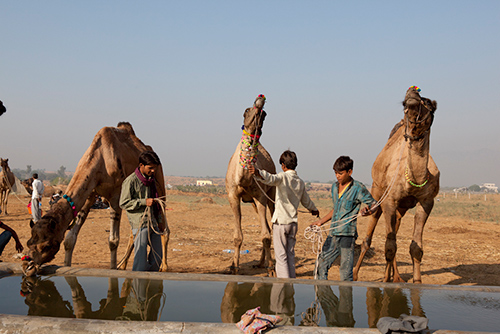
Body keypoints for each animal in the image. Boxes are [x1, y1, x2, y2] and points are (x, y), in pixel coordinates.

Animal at [23, 122, 169, 276]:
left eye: (47, 245)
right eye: (28, 242)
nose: (28, 267)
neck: (100, 160)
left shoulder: (116, 196)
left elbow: (113, 241)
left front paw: (113, 270)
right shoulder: (90, 194)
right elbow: (69, 239)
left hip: (159, 186)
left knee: (163, 227)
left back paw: (163, 267)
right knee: (136, 231)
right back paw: (122, 265)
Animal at [227, 94, 278, 276]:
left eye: (265, 114)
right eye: (246, 111)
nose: (260, 99)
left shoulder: (260, 196)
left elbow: (265, 235)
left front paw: (271, 269)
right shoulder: (233, 196)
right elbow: (237, 236)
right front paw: (234, 267)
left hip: (271, 194)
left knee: (270, 229)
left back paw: (267, 264)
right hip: (254, 203)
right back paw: (260, 263)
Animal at [354, 85, 440, 282]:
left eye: (428, 102)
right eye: (404, 104)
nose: (412, 93)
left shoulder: (427, 202)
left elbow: (415, 247)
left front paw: (417, 281)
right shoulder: (389, 200)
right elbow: (389, 247)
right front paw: (385, 282)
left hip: (401, 208)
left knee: (395, 229)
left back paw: (397, 277)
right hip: (377, 194)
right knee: (369, 238)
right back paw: (356, 274)